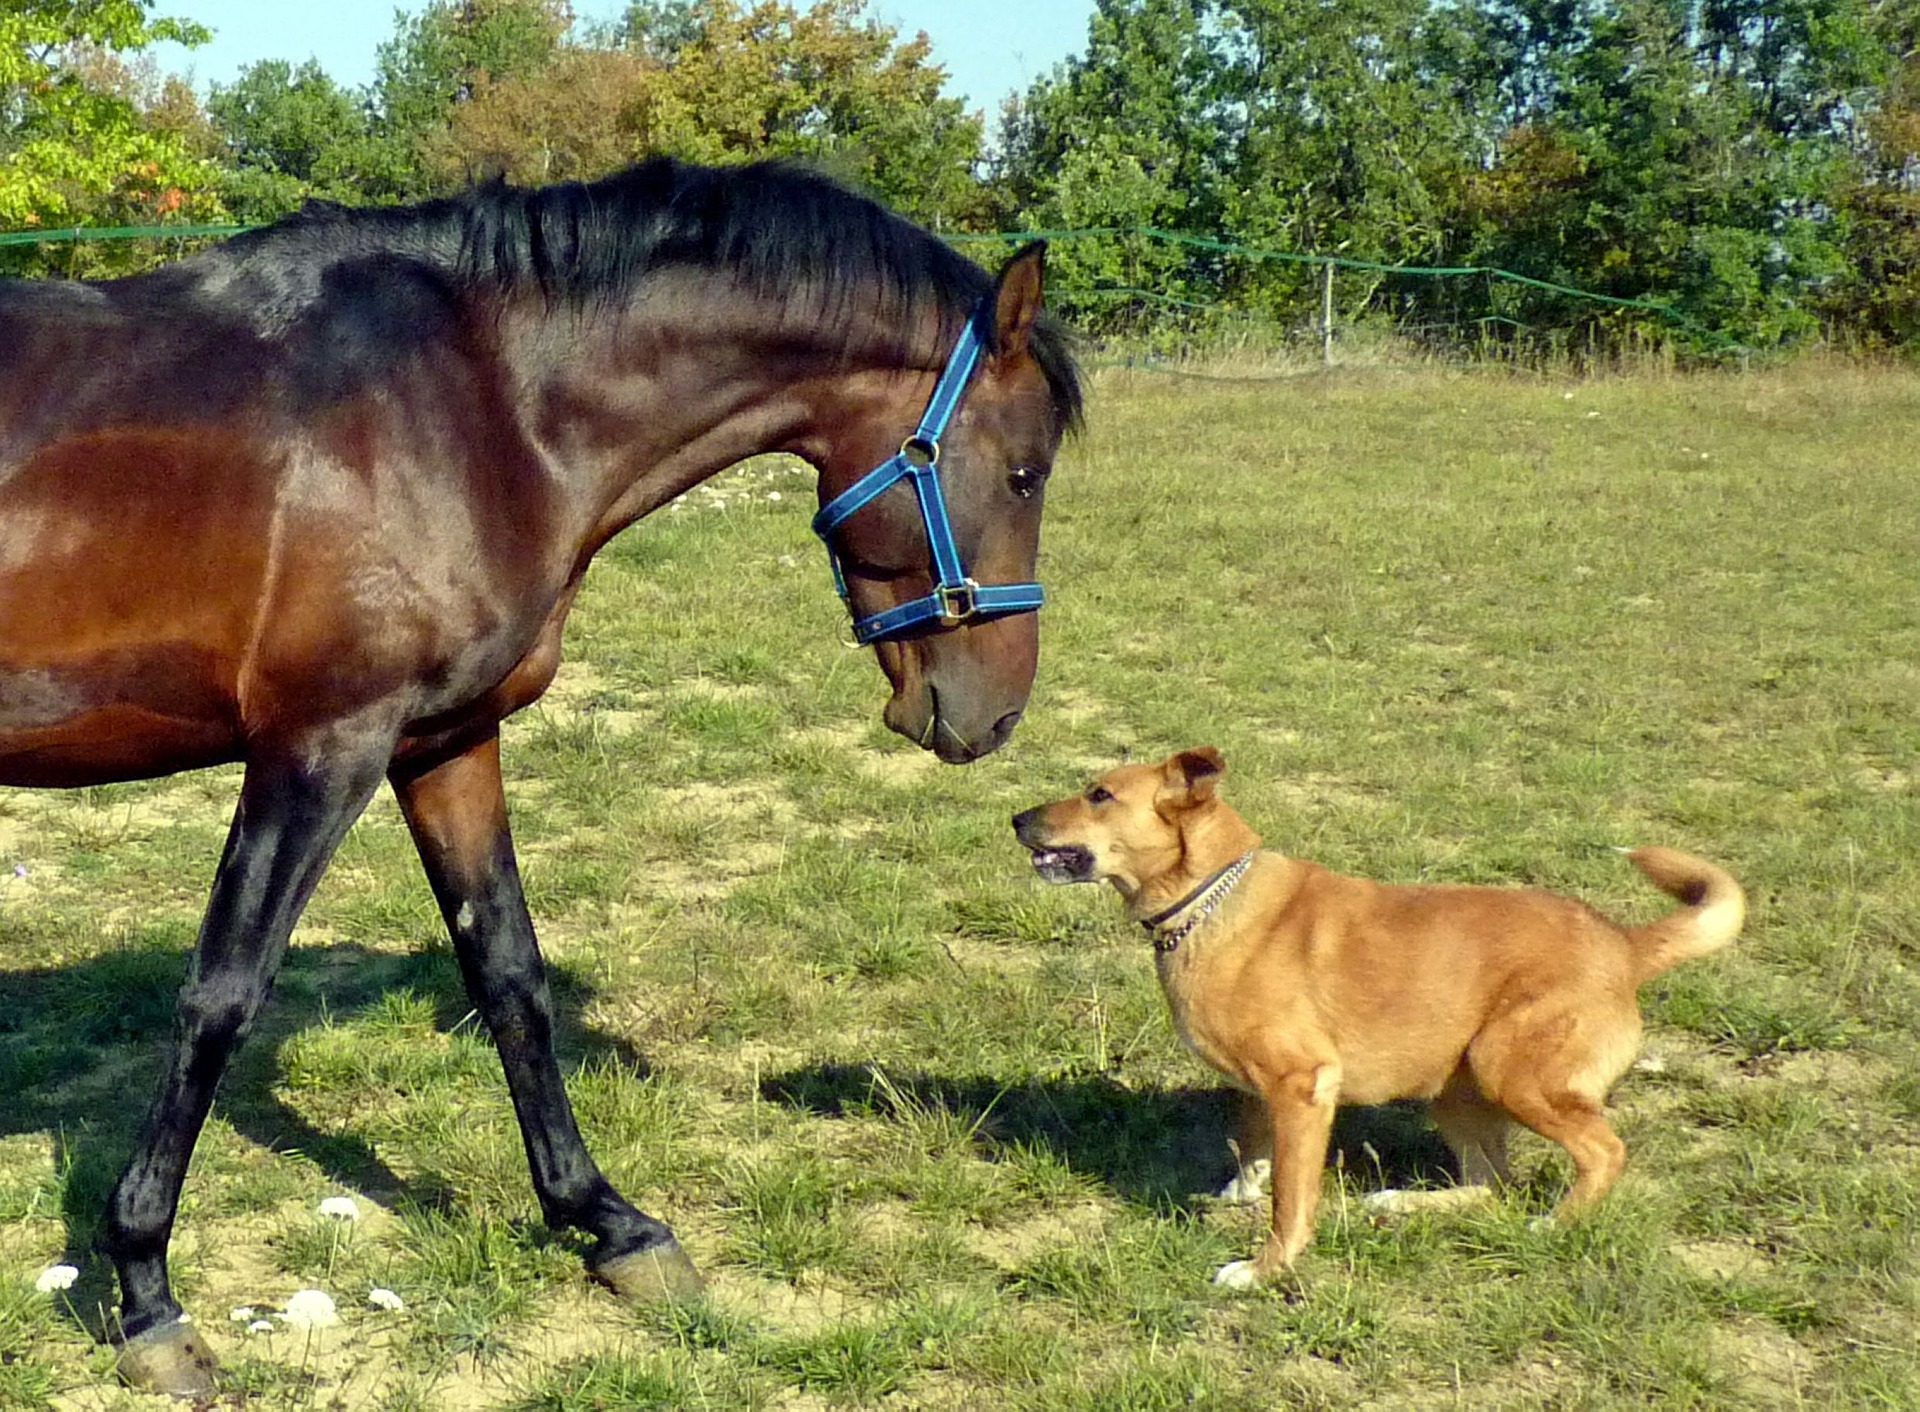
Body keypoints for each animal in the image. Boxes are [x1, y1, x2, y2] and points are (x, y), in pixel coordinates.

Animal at [0, 160, 1082, 1398]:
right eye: (1023, 472)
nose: (992, 711)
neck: (477, 407)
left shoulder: (445, 741)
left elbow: (509, 971)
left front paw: (608, 1220)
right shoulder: (321, 743)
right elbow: (220, 994)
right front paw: (144, 1290)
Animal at [1013, 753, 1751, 1290]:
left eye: (1099, 794)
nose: (1017, 817)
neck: (1210, 898)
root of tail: (1624, 945)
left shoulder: (1302, 1086)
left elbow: (1291, 1196)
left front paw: (1264, 1269)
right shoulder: (1261, 1088)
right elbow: (1251, 1148)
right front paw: (1237, 1194)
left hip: (1511, 1071)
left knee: (1602, 1153)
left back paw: (1552, 1226)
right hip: (1456, 1091)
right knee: (1491, 1184)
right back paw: (1401, 1203)